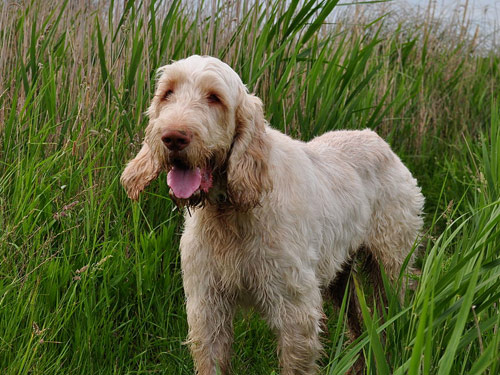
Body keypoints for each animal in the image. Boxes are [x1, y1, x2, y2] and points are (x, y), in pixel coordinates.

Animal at [120, 55, 422, 375]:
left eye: (214, 97)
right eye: (167, 93)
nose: (173, 138)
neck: (229, 213)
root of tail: (378, 139)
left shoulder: (295, 310)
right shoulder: (207, 307)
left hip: (391, 268)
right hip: (341, 278)